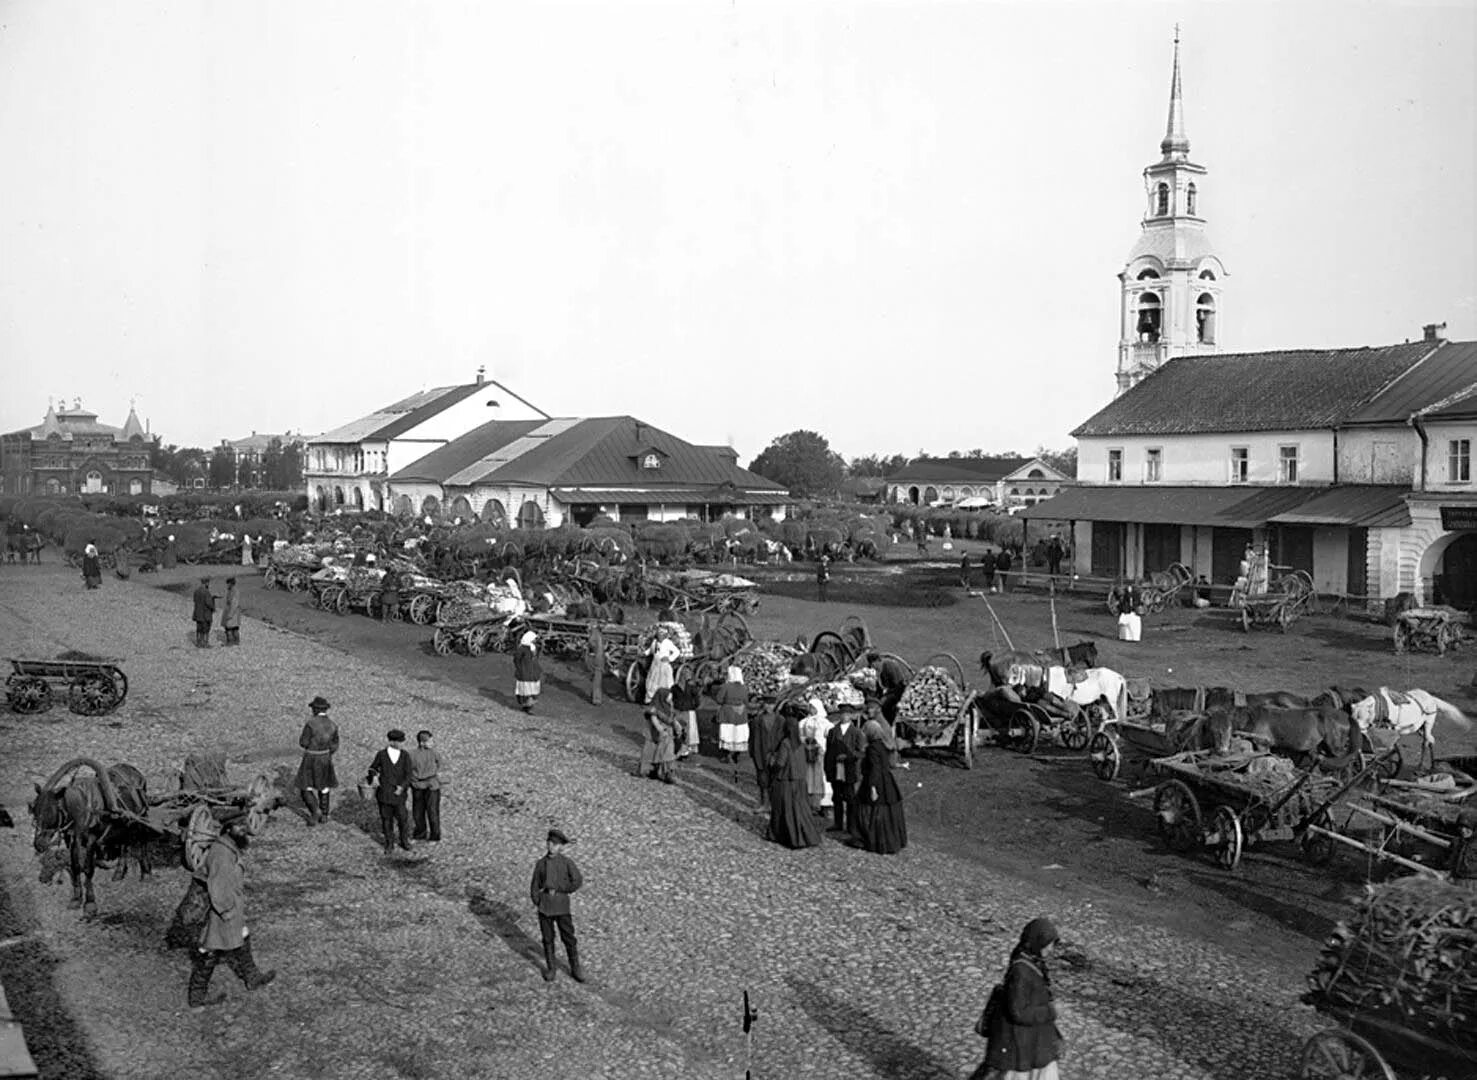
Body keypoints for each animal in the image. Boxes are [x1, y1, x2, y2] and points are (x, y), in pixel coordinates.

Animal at [30, 756, 152, 916]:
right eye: (35, 810)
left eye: (52, 812)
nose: (39, 844)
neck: (82, 809)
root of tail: (135, 771)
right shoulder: (72, 839)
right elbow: (75, 866)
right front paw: (76, 899)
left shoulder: (91, 840)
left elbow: (88, 868)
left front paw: (90, 903)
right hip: (123, 823)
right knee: (124, 843)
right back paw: (119, 872)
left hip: (140, 818)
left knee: (142, 841)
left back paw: (146, 873)